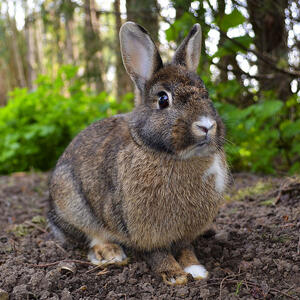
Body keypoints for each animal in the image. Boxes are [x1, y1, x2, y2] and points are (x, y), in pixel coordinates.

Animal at [48, 22, 229, 284]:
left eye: (206, 94)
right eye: (163, 99)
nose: (206, 125)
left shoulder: (186, 233)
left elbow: (185, 248)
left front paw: (196, 269)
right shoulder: (144, 230)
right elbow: (157, 252)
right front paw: (174, 275)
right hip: (71, 202)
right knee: (90, 236)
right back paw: (110, 253)